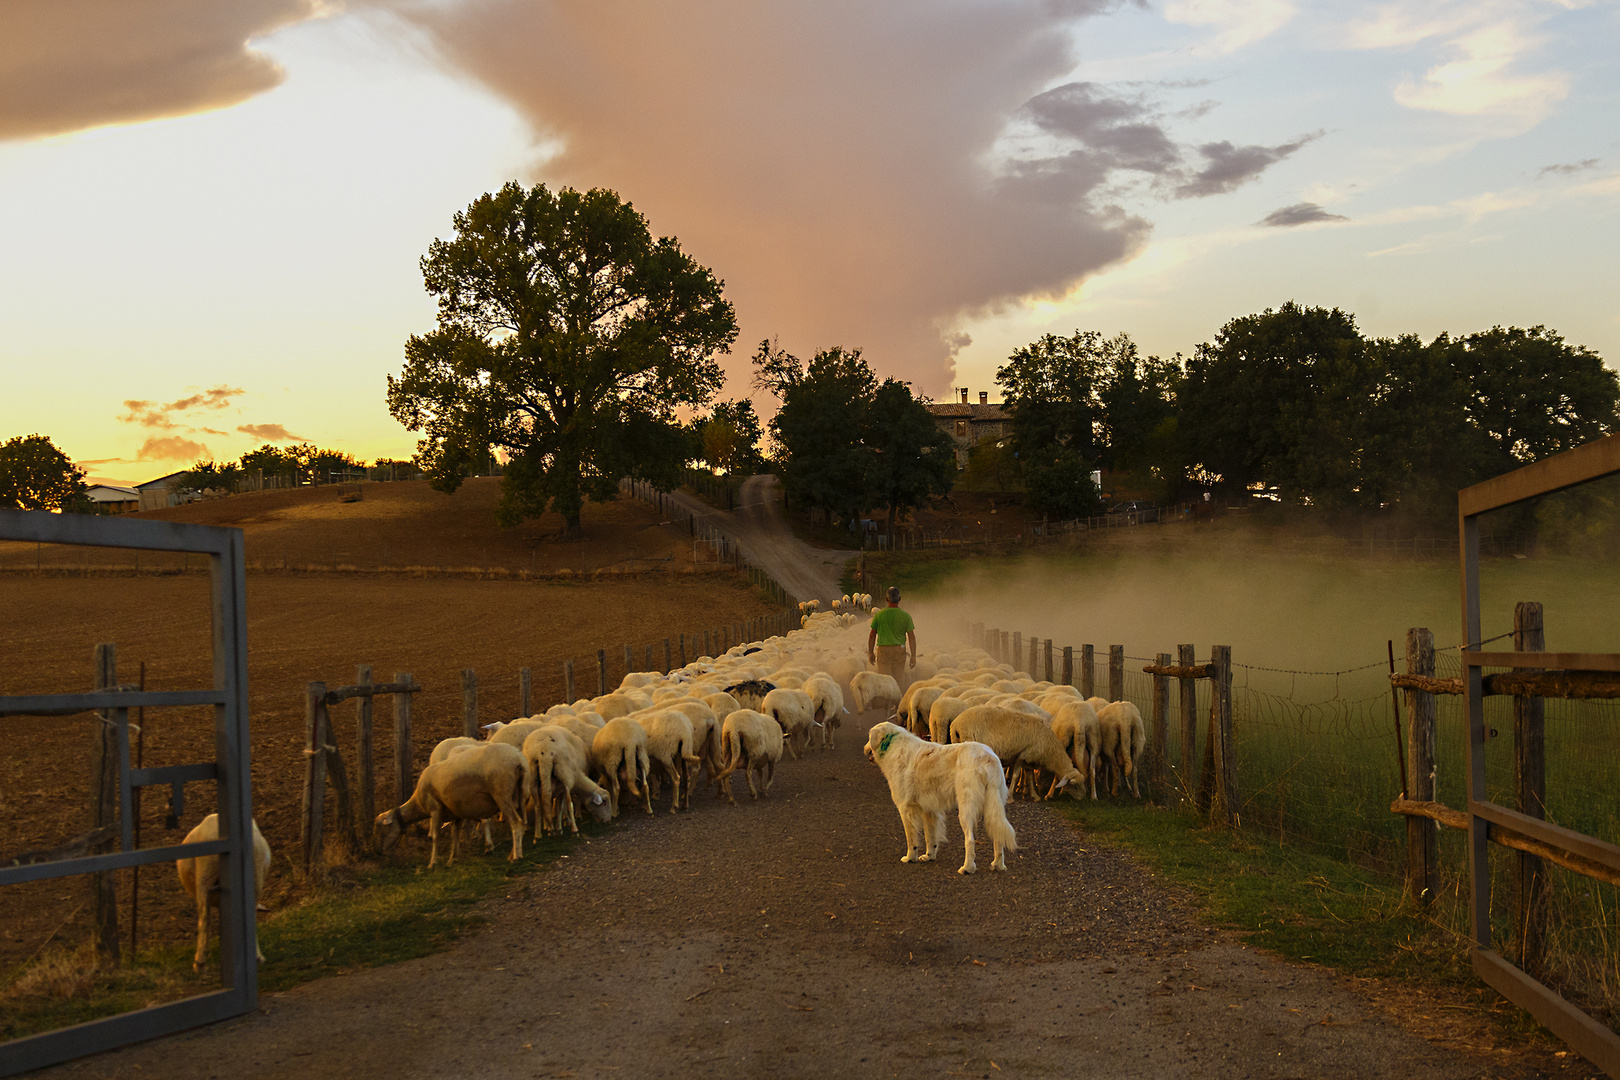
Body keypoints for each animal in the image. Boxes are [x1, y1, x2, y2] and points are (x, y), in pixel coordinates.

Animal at [375, 744, 528, 867]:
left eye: (382, 828)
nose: (380, 852)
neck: (418, 803)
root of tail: (518, 760)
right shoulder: (457, 812)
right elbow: (455, 834)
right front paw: (452, 859)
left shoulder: (435, 809)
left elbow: (435, 836)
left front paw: (432, 863)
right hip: (520, 795)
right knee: (522, 823)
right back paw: (512, 853)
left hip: (502, 794)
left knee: (515, 823)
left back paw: (516, 857)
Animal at [861, 722, 1010, 874]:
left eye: (868, 738)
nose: (864, 749)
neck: (891, 743)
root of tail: (987, 756)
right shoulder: (929, 810)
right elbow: (930, 837)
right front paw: (929, 857)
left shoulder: (905, 809)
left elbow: (911, 838)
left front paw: (910, 858)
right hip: (993, 806)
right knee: (998, 836)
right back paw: (998, 865)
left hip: (966, 809)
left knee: (970, 840)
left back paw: (967, 868)